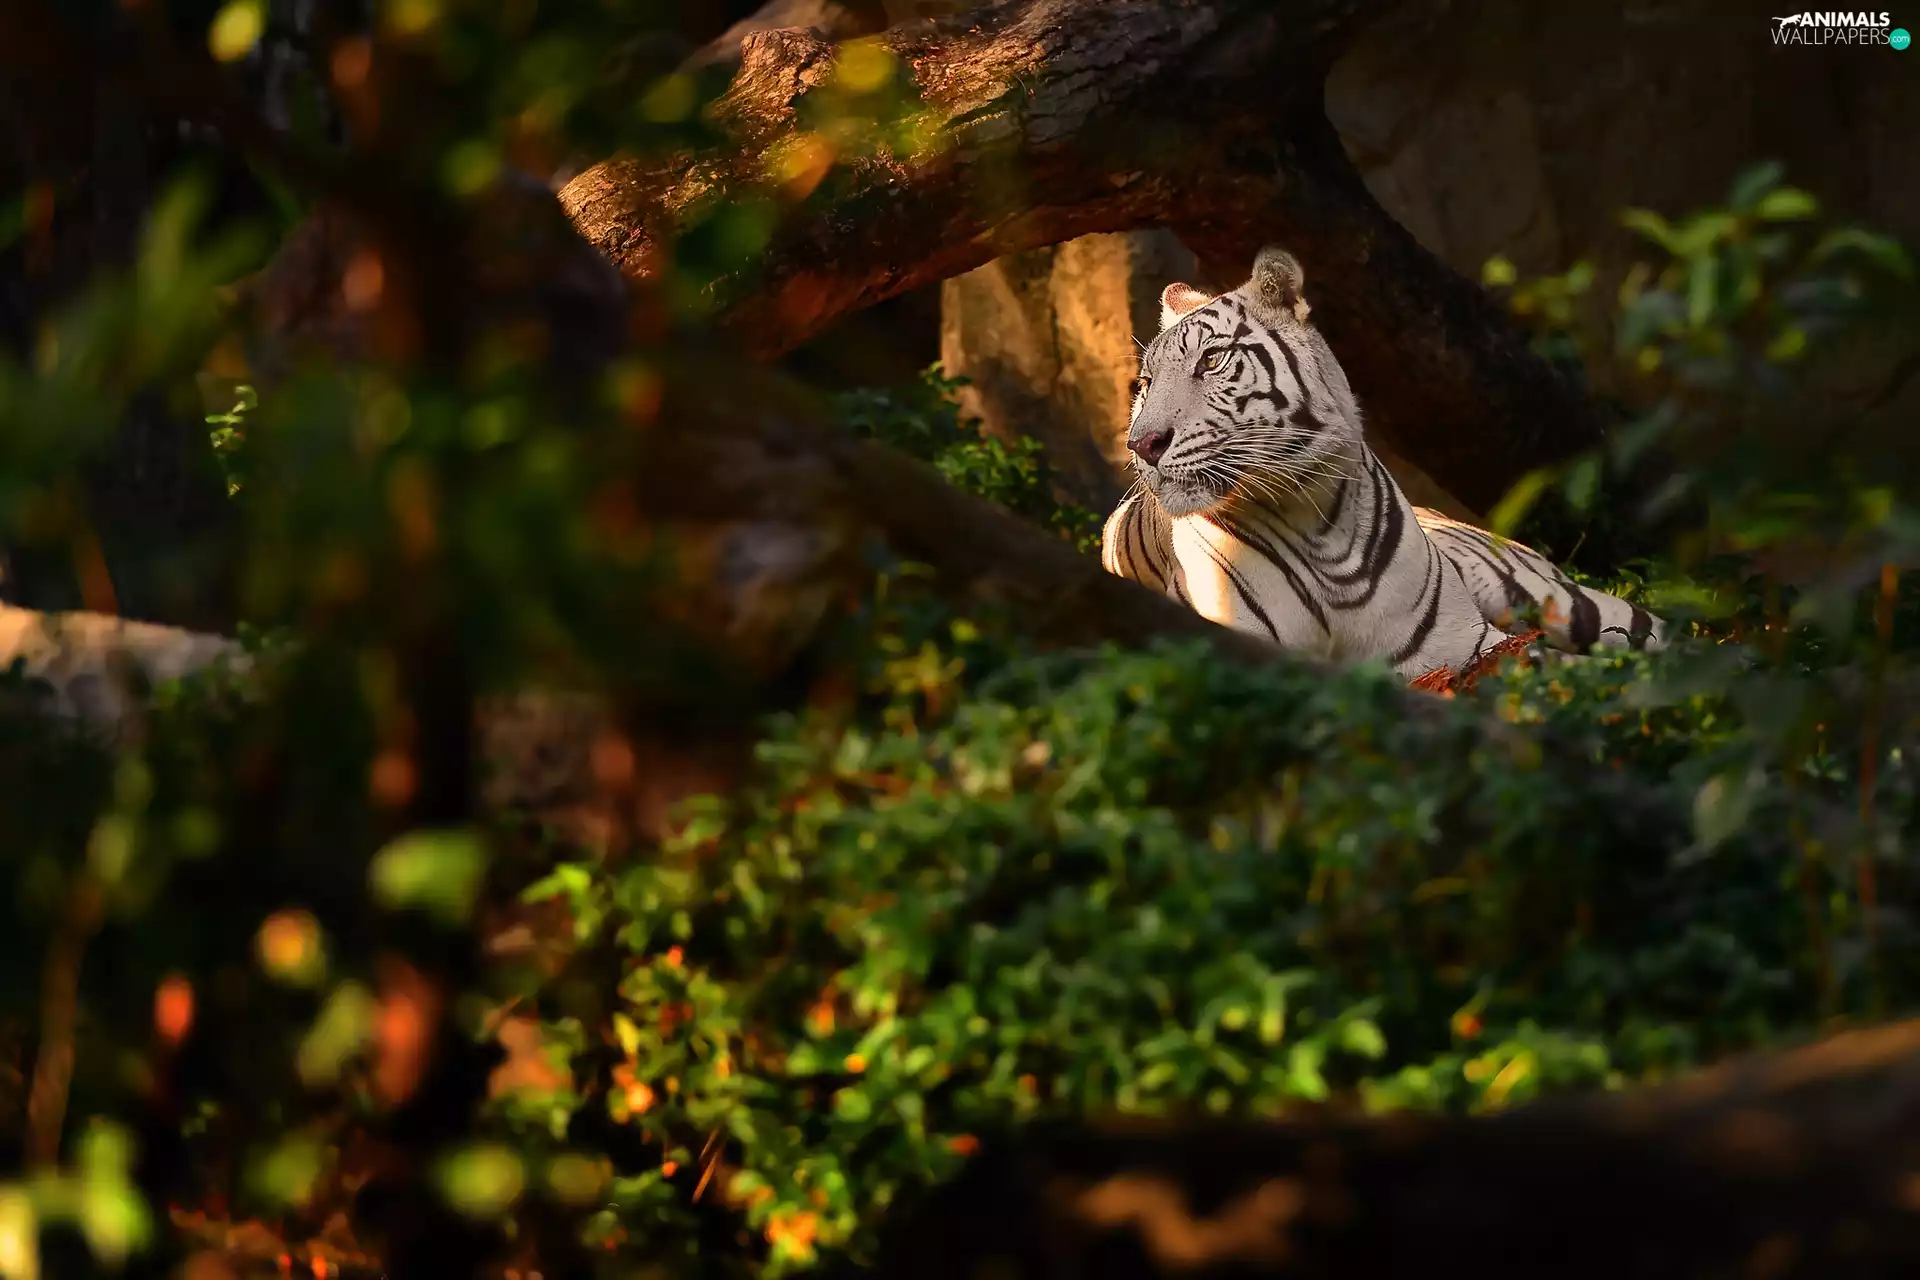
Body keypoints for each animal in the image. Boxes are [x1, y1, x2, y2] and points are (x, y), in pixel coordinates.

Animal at [1100, 245, 1663, 681]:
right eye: (1146, 383)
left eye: (1211, 360)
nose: (1142, 444)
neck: (1318, 522)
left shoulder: (1467, 645)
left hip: (1554, 598)